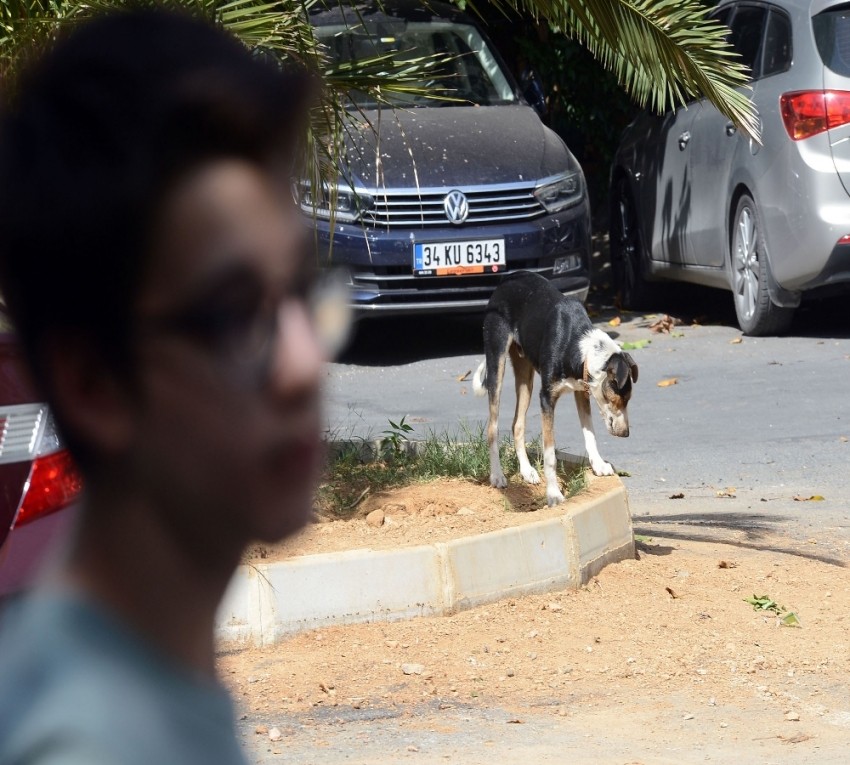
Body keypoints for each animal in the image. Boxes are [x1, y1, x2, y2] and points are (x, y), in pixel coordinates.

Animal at [470, 272, 636, 504]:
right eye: (621, 399)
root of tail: (508, 277)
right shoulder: (547, 398)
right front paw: (554, 494)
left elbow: (590, 433)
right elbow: (550, 454)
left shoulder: (581, 392)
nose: (625, 434)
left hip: (525, 378)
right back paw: (497, 476)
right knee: (492, 427)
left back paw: (527, 471)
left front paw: (598, 465)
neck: (577, 345)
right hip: (497, 362)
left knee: (517, 424)